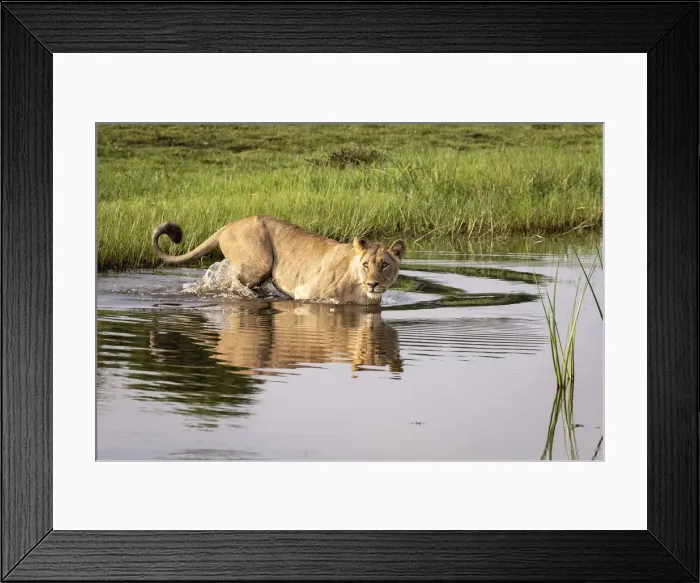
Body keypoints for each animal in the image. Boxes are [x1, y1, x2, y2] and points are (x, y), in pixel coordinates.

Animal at [152, 216, 406, 304]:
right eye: (366, 264)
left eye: (384, 264)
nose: (373, 284)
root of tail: (228, 225)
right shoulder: (306, 292)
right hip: (258, 264)